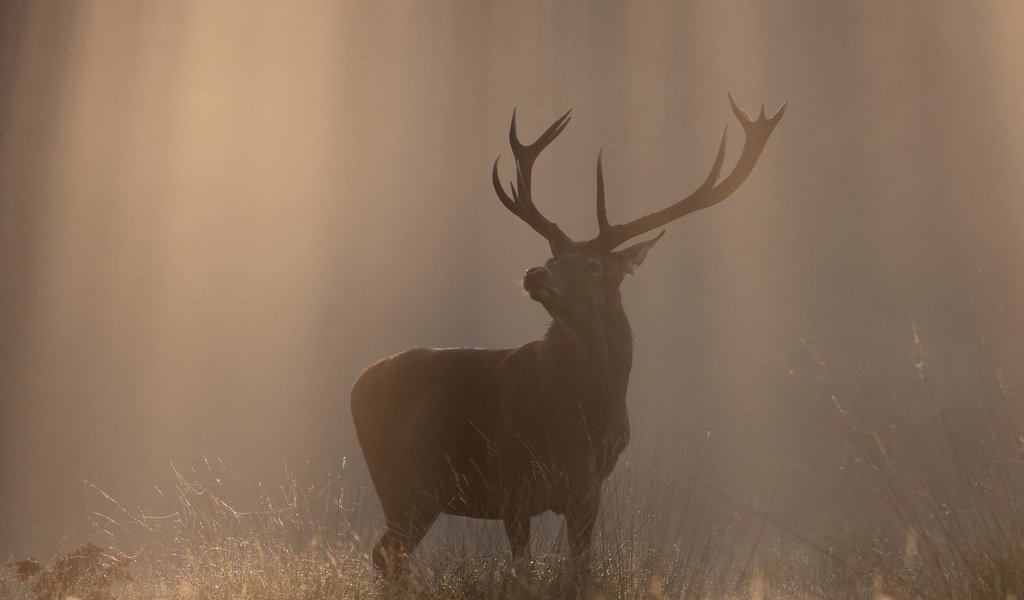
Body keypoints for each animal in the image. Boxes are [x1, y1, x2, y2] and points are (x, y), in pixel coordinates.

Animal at [352, 94, 782, 573]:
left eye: (593, 265)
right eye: (553, 258)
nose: (534, 273)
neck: (580, 417)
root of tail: (358, 383)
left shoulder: (588, 488)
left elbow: (579, 567)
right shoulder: (513, 476)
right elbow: (522, 569)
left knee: (388, 553)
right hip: (402, 481)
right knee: (386, 552)